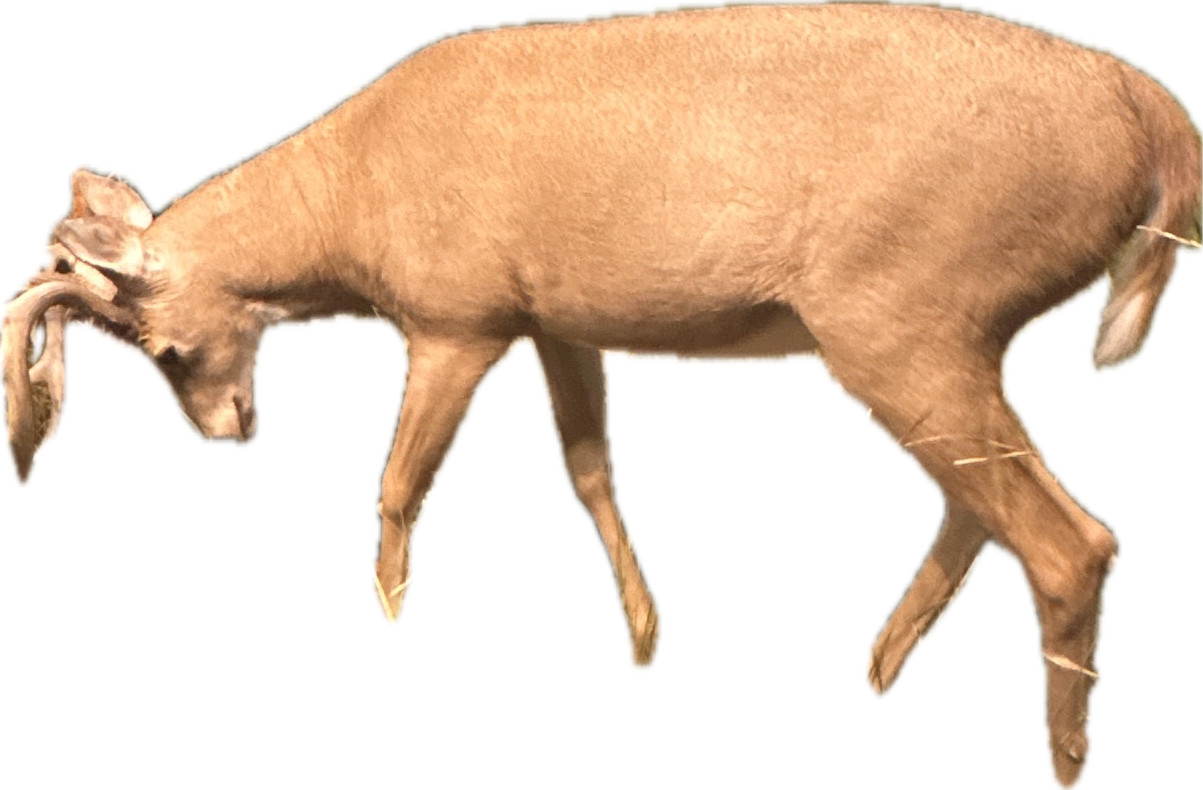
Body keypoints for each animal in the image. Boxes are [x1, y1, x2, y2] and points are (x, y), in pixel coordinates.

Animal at [2, 3, 1200, 786]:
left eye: (158, 345)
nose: (229, 433)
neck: (351, 201)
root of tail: (1163, 125)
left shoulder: (458, 314)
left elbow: (400, 478)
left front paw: (390, 610)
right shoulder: (560, 324)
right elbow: (588, 472)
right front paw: (644, 641)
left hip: (901, 312)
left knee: (1067, 538)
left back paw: (1061, 762)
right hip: (931, 331)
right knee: (982, 499)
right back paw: (878, 670)